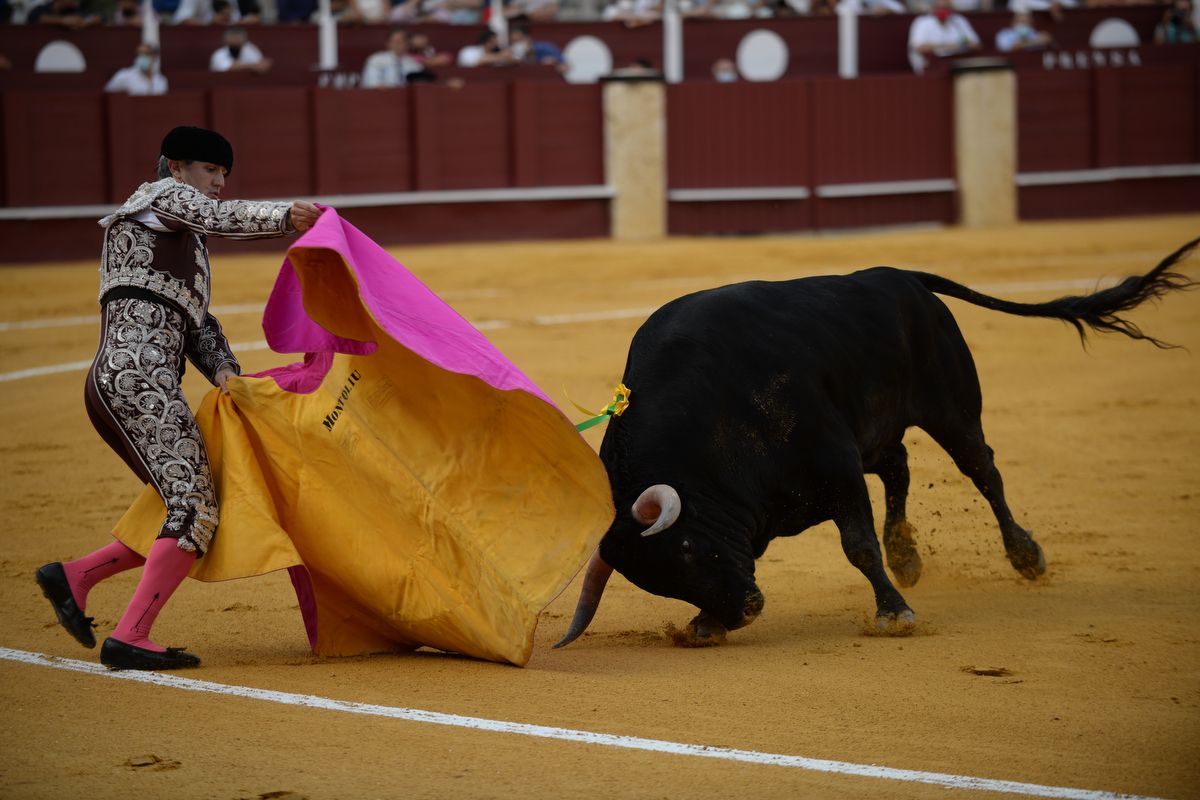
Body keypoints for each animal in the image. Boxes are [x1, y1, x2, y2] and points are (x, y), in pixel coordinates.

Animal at [556, 239, 1195, 652]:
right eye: (659, 580)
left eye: (687, 549)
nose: (745, 610)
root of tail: (903, 277)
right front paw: (705, 624)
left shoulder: (835, 466)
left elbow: (858, 546)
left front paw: (895, 615)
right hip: (880, 428)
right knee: (900, 467)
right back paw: (908, 555)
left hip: (952, 408)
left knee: (983, 471)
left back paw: (1024, 556)